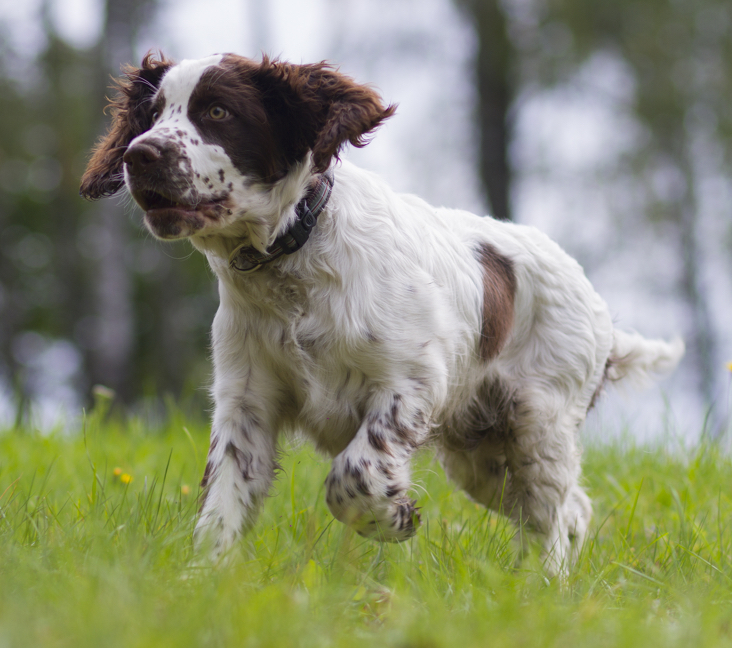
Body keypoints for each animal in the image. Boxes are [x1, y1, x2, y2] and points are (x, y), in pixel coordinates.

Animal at [78, 53, 680, 576]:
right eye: (152, 115)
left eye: (219, 112)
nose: (138, 155)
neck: (293, 258)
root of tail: (601, 312)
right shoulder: (244, 402)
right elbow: (222, 501)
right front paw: (204, 580)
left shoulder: (410, 384)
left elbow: (355, 473)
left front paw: (393, 517)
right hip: (479, 454)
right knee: (568, 508)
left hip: (539, 423)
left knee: (550, 511)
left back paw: (545, 584)